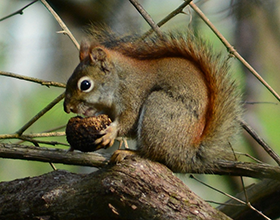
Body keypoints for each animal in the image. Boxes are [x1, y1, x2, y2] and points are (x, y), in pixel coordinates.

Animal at [63, 27, 241, 172]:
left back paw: (129, 152)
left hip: (158, 109)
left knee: (152, 154)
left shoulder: (132, 96)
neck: (119, 80)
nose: (67, 108)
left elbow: (128, 120)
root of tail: (187, 153)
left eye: (85, 84)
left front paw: (110, 132)